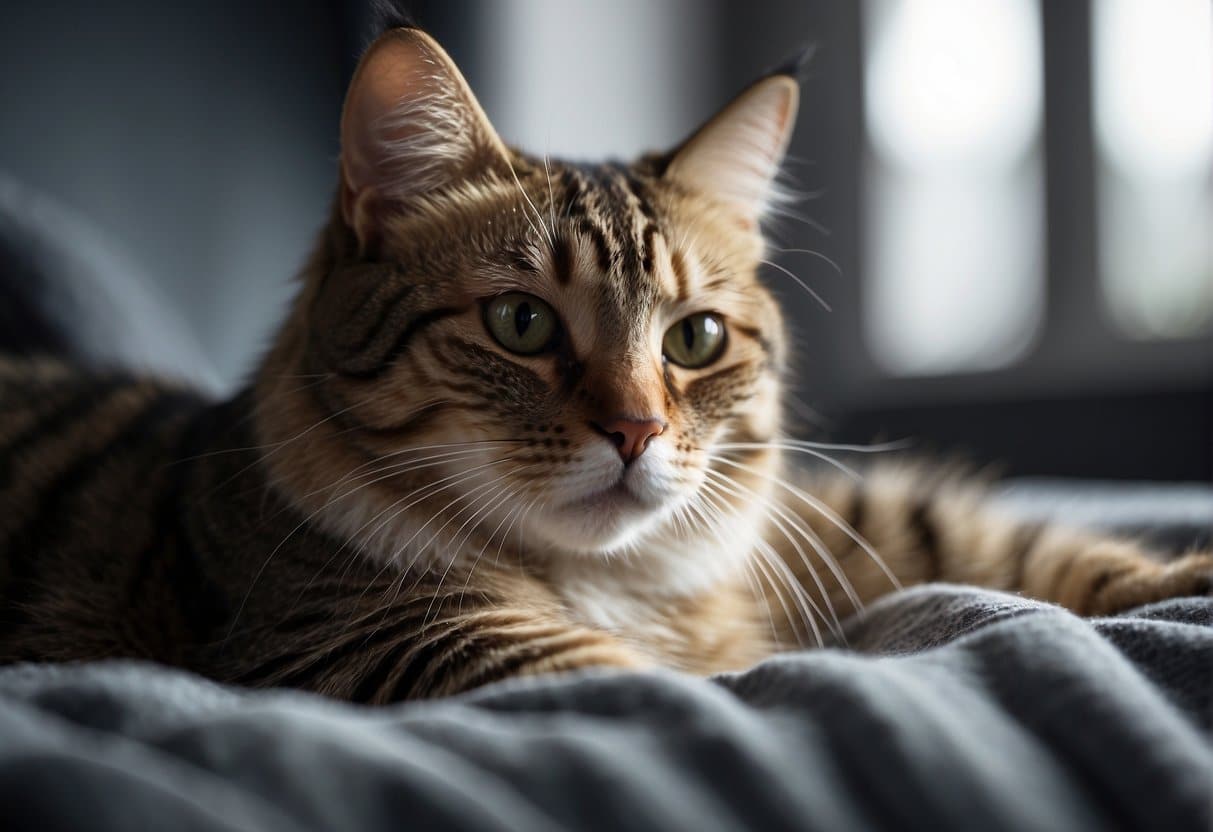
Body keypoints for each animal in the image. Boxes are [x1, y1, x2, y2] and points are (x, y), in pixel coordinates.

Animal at [0, 22, 1208, 703]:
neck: (626, 588)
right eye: (521, 325)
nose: (634, 430)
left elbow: (994, 539)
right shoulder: (405, 644)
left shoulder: (802, 523)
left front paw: (1176, 581)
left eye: (695, 339)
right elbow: (695, 694)